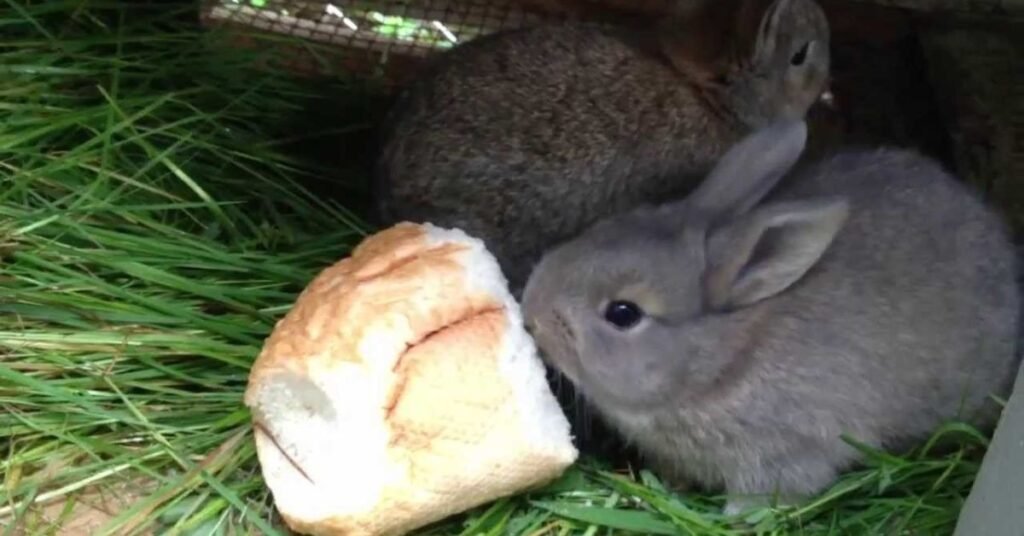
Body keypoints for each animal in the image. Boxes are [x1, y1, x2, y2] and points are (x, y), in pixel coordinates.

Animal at [520, 119, 1022, 515]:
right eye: (601, 227)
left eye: (623, 313)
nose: (532, 310)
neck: (720, 362)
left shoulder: (789, 452)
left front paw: (738, 518)